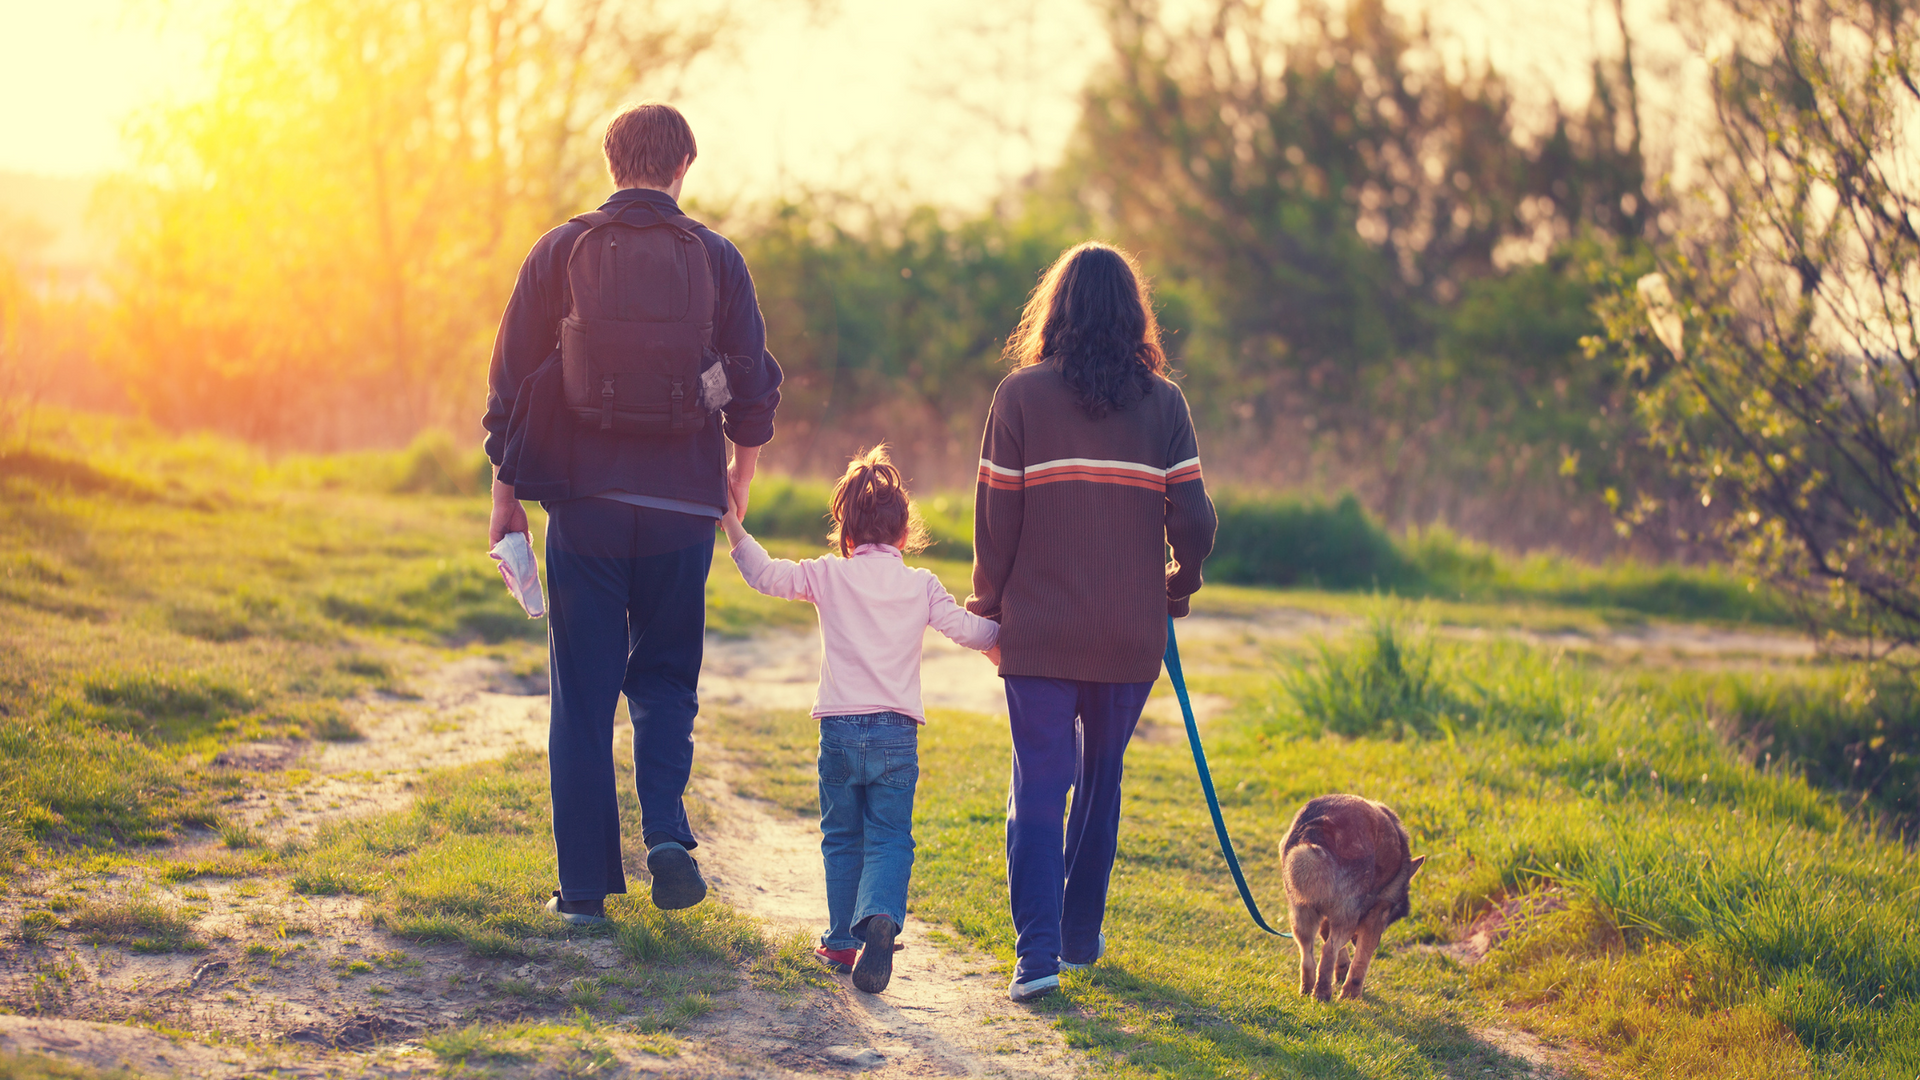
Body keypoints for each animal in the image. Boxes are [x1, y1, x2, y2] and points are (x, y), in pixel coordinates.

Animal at [1282, 791, 1420, 999]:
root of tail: (1318, 825)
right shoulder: (1374, 919)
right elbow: (1361, 961)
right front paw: (1351, 994)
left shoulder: (1329, 918)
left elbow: (1331, 941)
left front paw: (1342, 972)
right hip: (1345, 918)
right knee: (1328, 950)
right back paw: (1323, 994)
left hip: (1301, 914)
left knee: (1308, 955)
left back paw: (1308, 990)